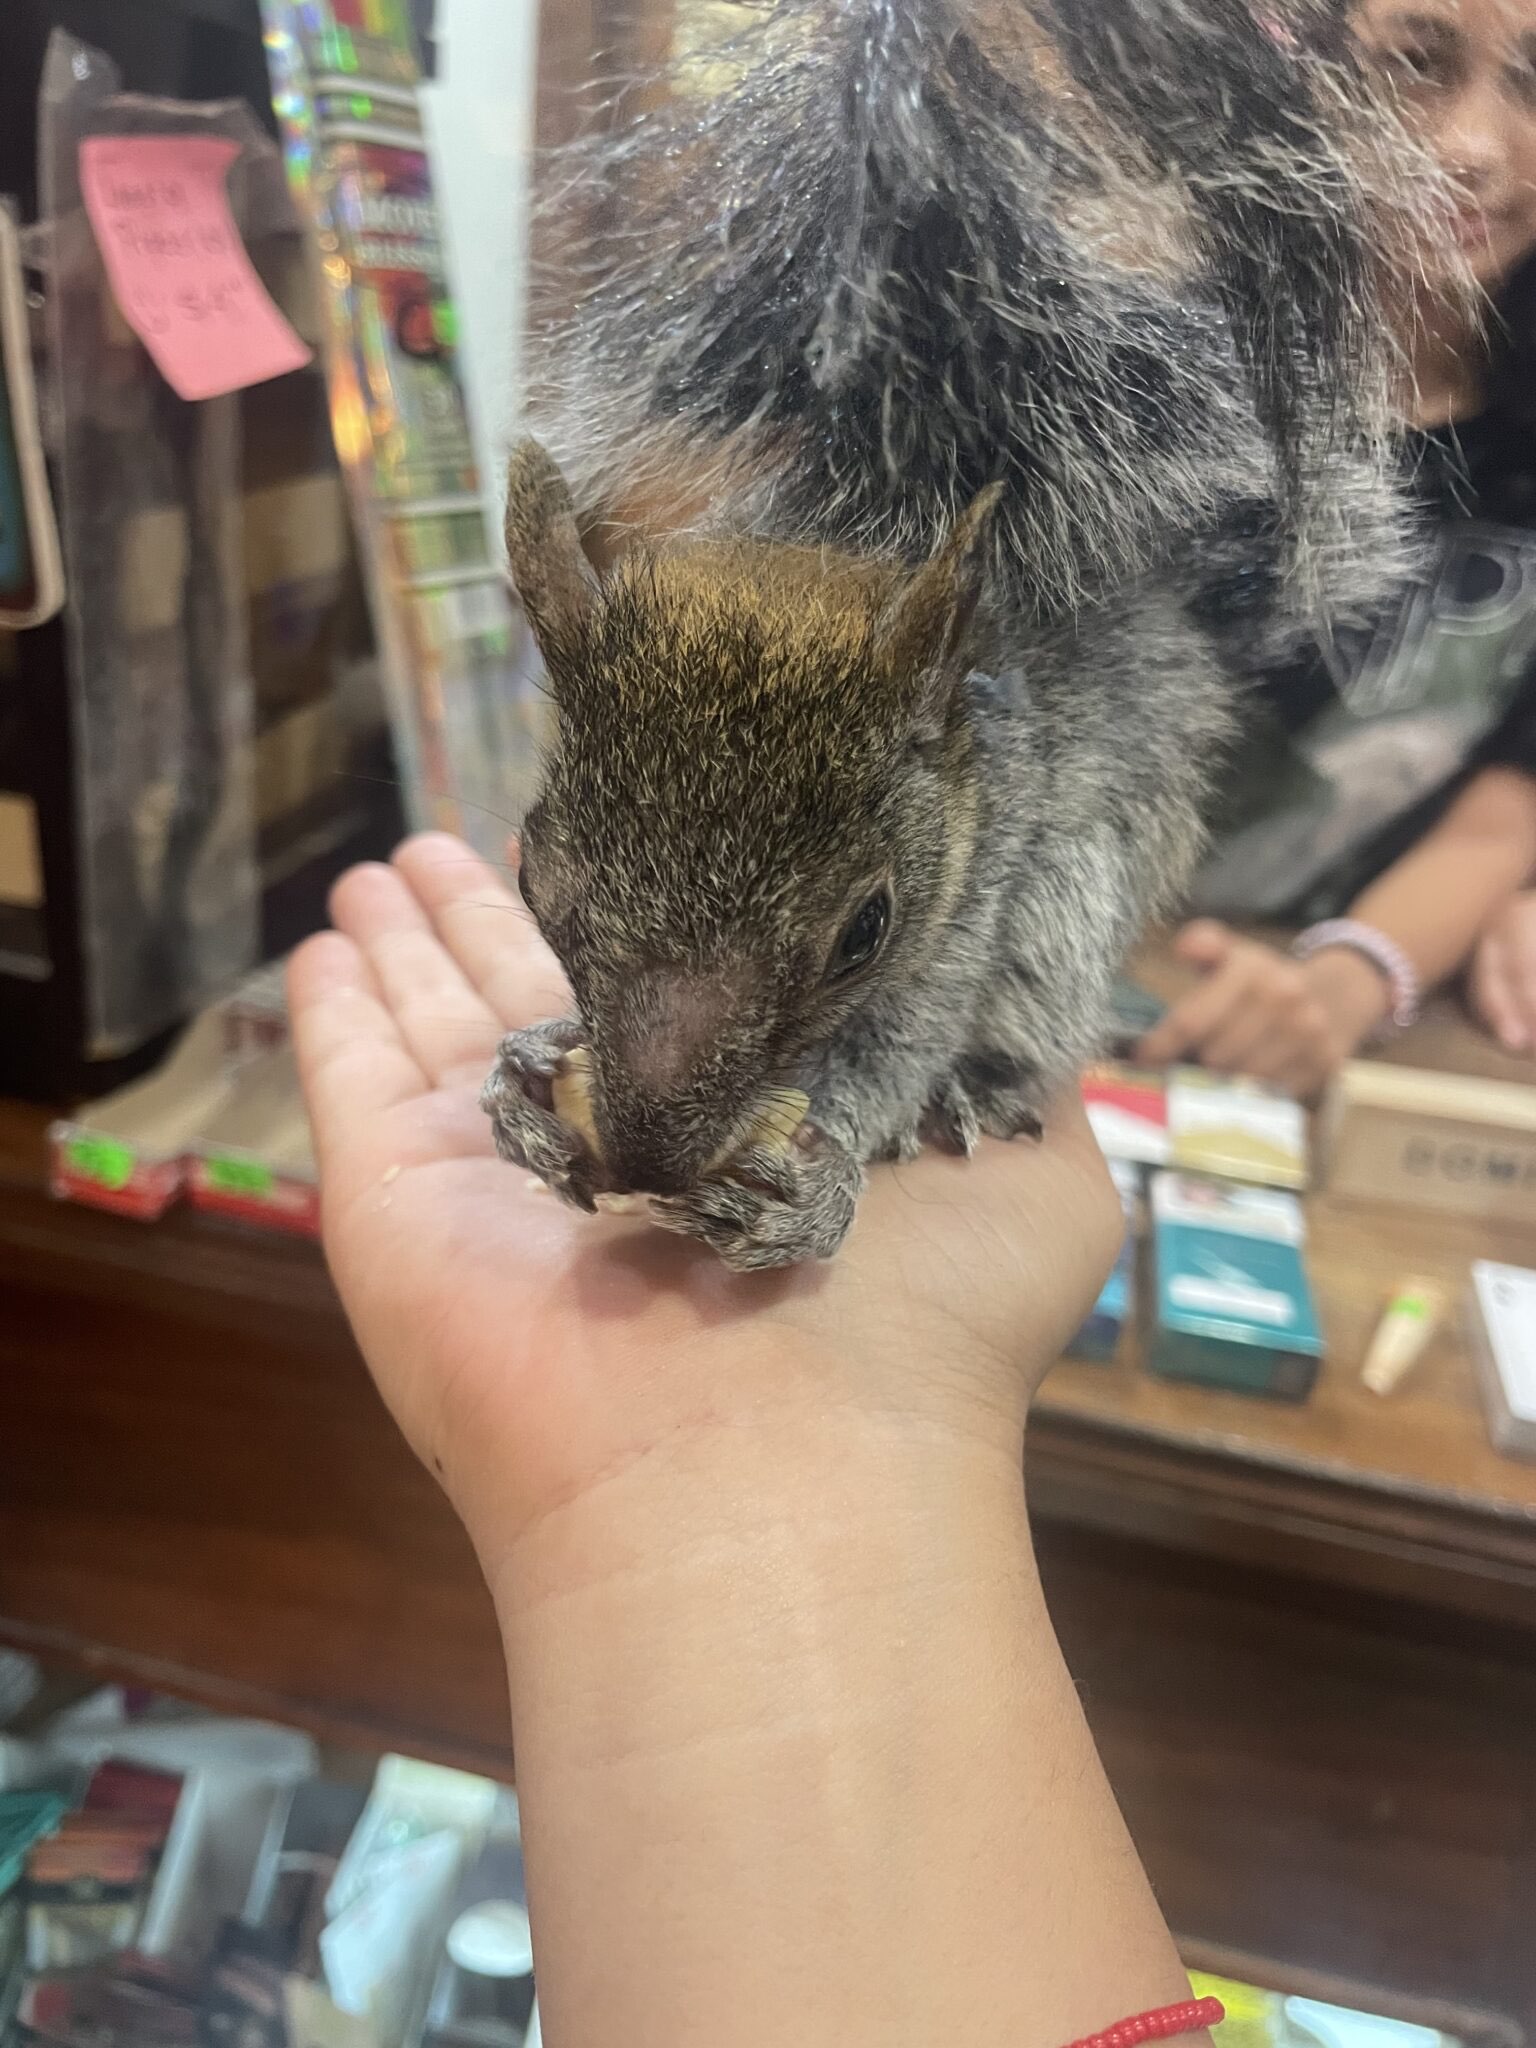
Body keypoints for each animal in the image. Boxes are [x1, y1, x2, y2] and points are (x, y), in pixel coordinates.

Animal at [482, 0, 1442, 1270]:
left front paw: (822, 1175)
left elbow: (897, 1048)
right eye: (530, 877)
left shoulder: (969, 907)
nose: (644, 1160)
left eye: (867, 928)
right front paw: (526, 1061)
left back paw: (981, 1089)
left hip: (1075, 897)